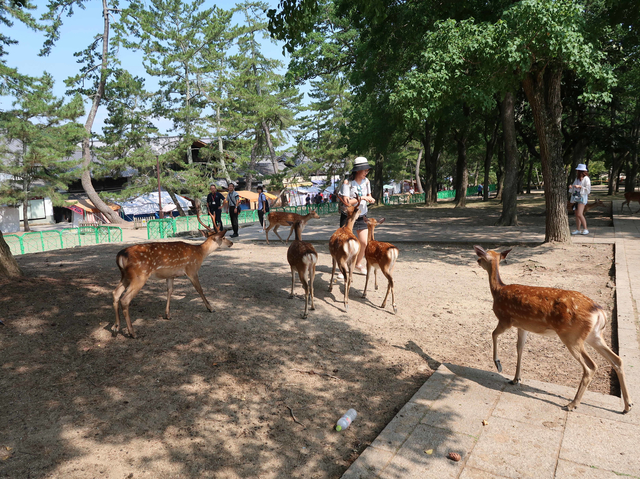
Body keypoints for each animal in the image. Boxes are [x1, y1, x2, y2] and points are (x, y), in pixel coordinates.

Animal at [112, 201, 232, 340]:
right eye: (223, 237)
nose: (231, 243)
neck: (200, 253)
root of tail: (120, 255)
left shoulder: (171, 275)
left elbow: (169, 291)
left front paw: (167, 315)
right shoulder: (192, 270)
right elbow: (199, 289)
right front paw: (211, 308)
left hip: (125, 275)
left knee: (115, 293)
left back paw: (116, 327)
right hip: (139, 276)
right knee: (125, 299)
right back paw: (132, 332)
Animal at [472, 246, 632, 414]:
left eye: (483, 256)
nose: (477, 260)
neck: (498, 290)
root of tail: (600, 312)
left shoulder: (505, 319)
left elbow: (493, 334)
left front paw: (498, 364)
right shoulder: (522, 326)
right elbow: (520, 349)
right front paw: (516, 379)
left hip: (572, 336)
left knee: (591, 366)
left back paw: (572, 404)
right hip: (594, 336)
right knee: (617, 360)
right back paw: (627, 406)